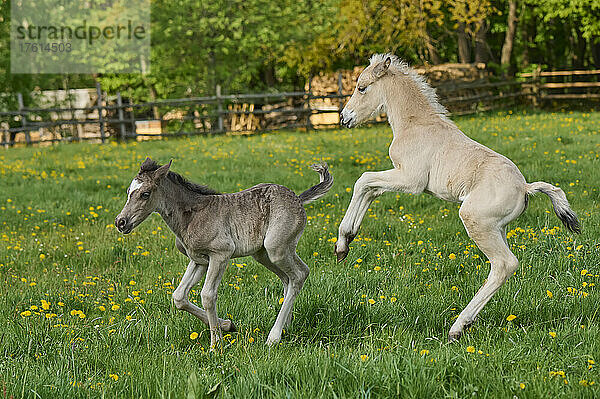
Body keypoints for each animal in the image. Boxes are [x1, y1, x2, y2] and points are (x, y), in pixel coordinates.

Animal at [116, 158, 332, 348]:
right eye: (128, 192)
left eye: (145, 194)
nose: (121, 222)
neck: (191, 217)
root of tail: (298, 199)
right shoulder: (199, 260)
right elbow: (179, 297)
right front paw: (227, 325)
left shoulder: (221, 254)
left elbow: (207, 295)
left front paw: (216, 344)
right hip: (263, 253)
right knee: (289, 277)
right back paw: (286, 326)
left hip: (276, 248)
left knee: (299, 274)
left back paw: (274, 337)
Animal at [336, 54, 580, 344]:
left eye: (361, 87)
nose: (344, 118)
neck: (416, 124)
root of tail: (524, 187)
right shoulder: (398, 178)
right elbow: (370, 189)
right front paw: (347, 241)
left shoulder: (410, 180)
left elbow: (362, 180)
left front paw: (341, 243)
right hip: (498, 229)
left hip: (475, 220)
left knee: (504, 264)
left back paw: (458, 327)